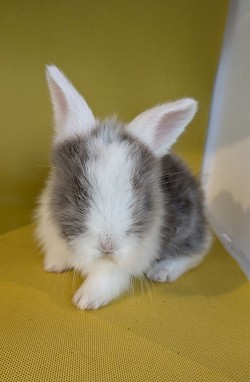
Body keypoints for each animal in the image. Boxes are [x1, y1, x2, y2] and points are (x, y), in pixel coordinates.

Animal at [35, 65, 211, 310]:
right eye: (77, 195)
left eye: (141, 201)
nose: (108, 247)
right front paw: (53, 265)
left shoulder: (124, 263)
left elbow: (106, 278)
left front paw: (85, 300)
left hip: (186, 228)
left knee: (198, 251)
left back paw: (162, 271)